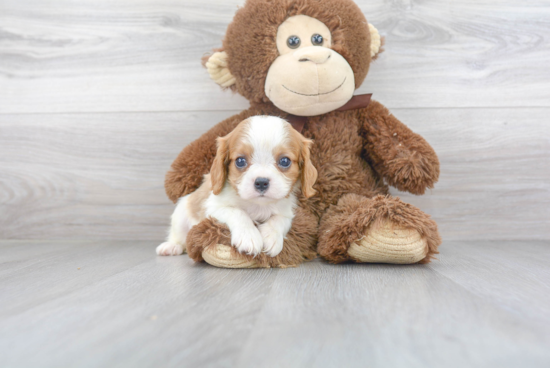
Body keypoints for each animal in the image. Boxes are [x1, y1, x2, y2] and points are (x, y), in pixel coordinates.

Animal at [157, 116, 316, 258]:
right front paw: (249, 236)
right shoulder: (214, 208)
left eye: (284, 161)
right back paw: (171, 246)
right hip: (180, 215)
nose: (261, 182)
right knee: (178, 236)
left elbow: (279, 220)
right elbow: (238, 213)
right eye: (240, 161)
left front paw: (271, 236)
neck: (257, 205)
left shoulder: (286, 212)